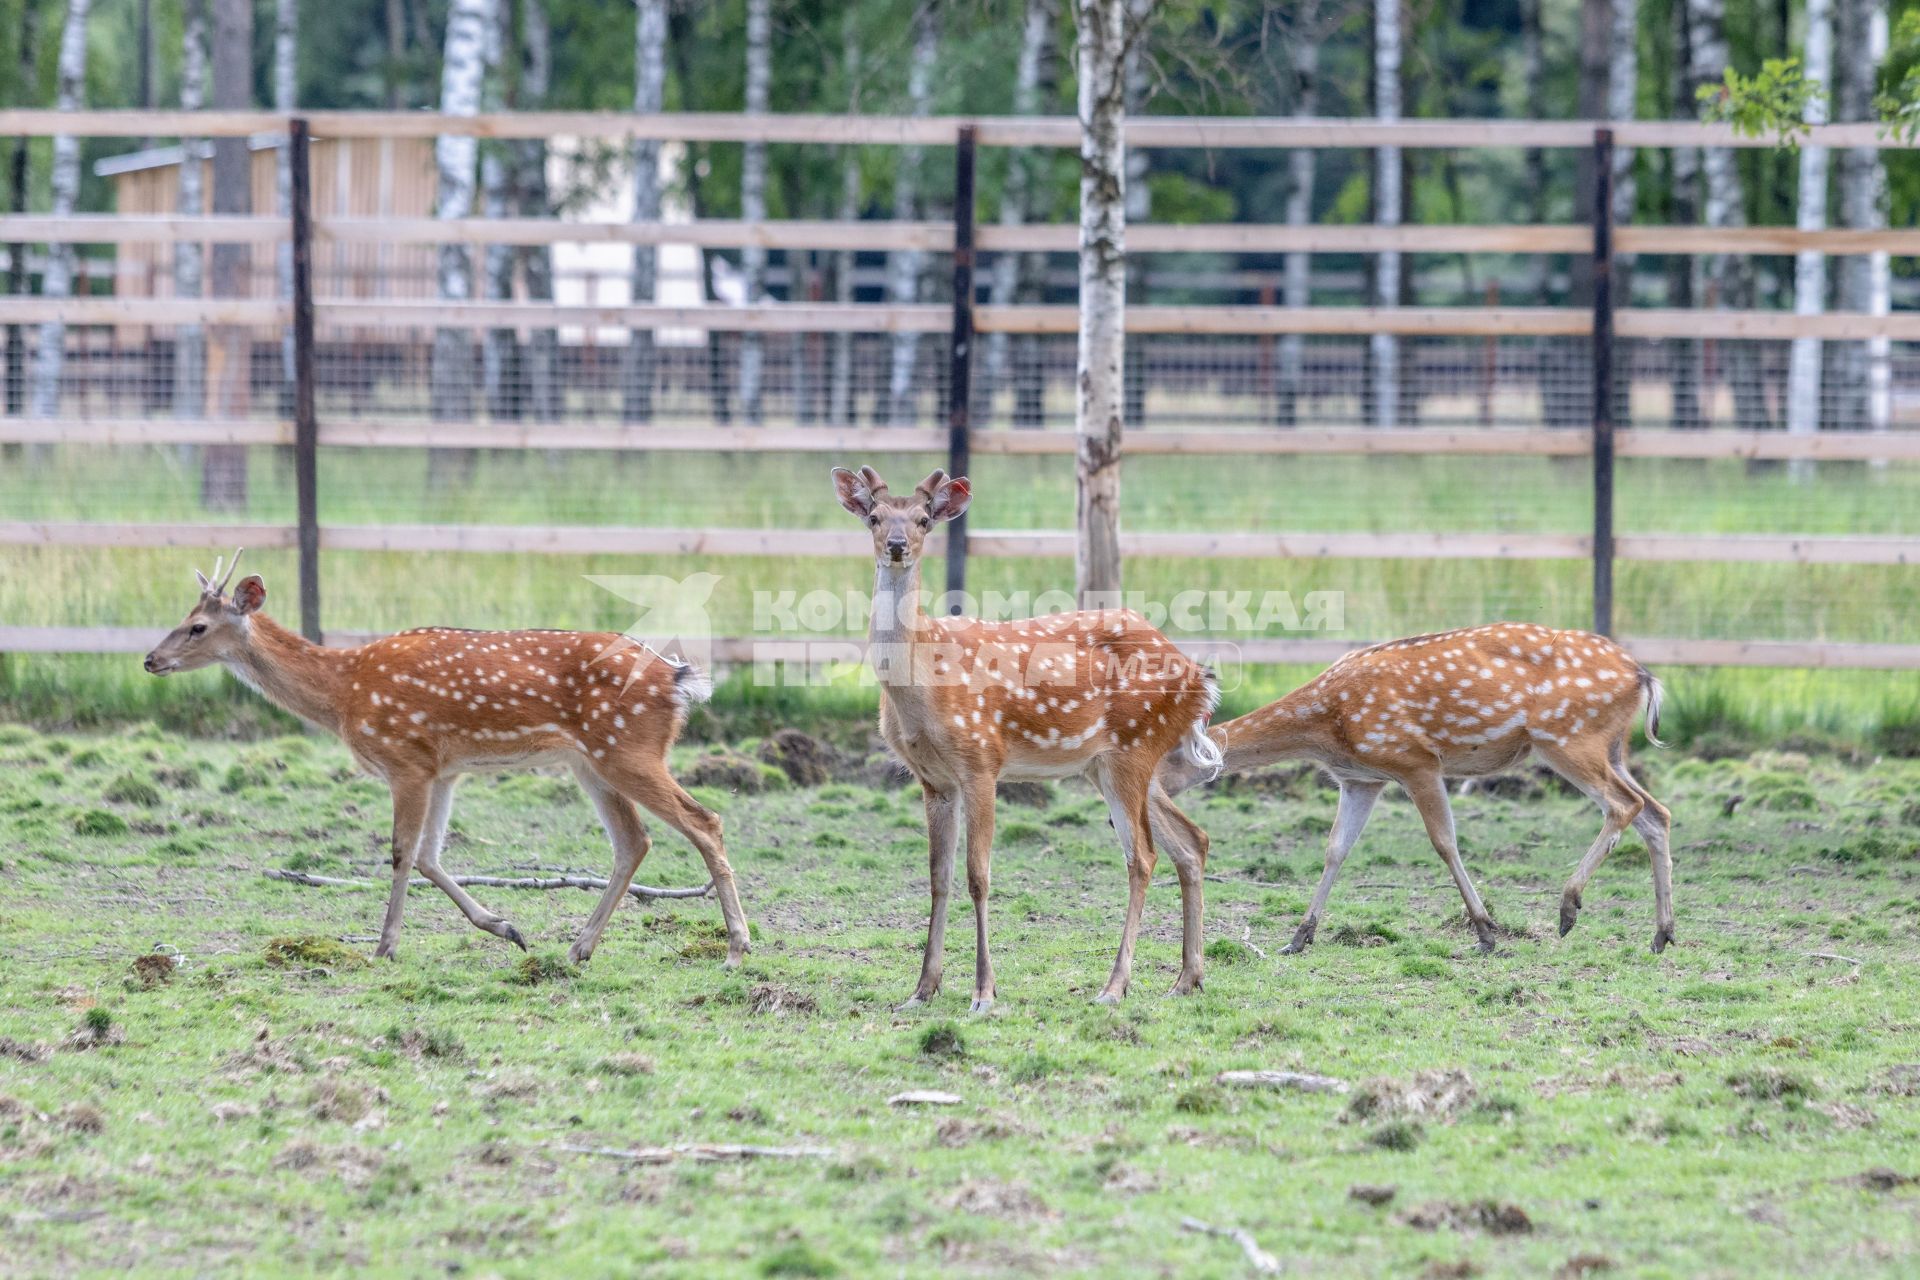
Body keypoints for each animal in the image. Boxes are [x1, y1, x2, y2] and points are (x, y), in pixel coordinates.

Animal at [142, 556, 748, 967]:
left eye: (198, 626)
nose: (150, 659)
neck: (343, 694)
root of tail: (678, 678)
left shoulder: (405, 758)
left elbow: (401, 853)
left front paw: (384, 947)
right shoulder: (444, 769)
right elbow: (431, 855)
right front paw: (506, 927)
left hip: (628, 748)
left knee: (704, 820)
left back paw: (736, 949)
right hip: (592, 762)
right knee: (634, 841)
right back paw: (578, 948)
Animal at [833, 462, 1221, 1013]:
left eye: (925, 520)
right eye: (874, 516)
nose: (896, 545)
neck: (923, 683)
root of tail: (1198, 679)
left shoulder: (981, 760)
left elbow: (978, 877)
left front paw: (983, 993)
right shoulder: (933, 780)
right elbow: (937, 878)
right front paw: (922, 989)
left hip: (1132, 748)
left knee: (1143, 857)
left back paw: (1114, 986)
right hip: (1113, 763)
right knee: (1191, 841)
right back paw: (1187, 978)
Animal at [1144, 625, 1674, 955]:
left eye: (1160, 754)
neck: (1327, 725)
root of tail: (1646, 677)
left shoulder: (1414, 760)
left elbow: (1444, 843)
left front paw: (1487, 934)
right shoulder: (1362, 778)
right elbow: (1335, 849)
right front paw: (1297, 938)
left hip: (1568, 737)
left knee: (1624, 805)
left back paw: (1568, 908)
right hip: (1609, 746)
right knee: (1657, 812)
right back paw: (1661, 935)